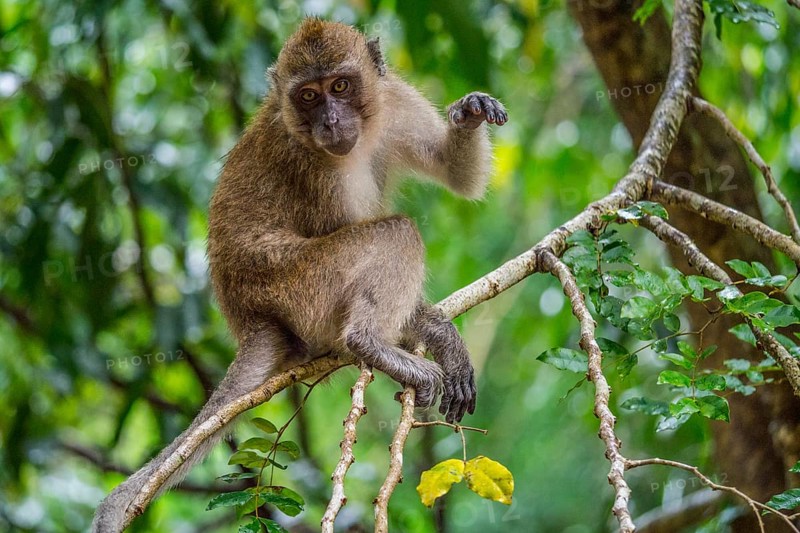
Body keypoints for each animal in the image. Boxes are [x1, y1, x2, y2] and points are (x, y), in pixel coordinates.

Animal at [92, 18, 506, 532]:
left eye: (340, 86)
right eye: (308, 96)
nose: (329, 122)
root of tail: (254, 318)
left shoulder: (394, 98)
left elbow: (456, 175)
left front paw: (470, 113)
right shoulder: (309, 164)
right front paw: (432, 328)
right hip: (299, 285)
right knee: (395, 234)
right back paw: (368, 342)